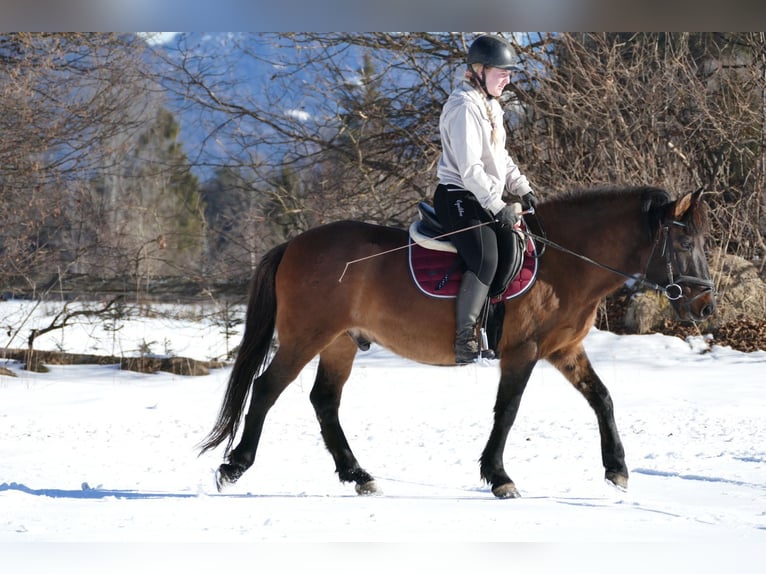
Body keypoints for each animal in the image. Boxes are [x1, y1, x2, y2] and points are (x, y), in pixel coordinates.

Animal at [201, 188, 716, 500]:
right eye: (684, 244)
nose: (706, 306)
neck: (565, 264)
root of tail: (293, 244)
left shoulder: (563, 350)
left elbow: (602, 398)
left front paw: (617, 469)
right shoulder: (523, 351)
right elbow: (507, 410)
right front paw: (499, 476)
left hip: (341, 343)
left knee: (324, 401)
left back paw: (358, 475)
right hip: (306, 337)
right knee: (267, 389)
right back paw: (235, 465)